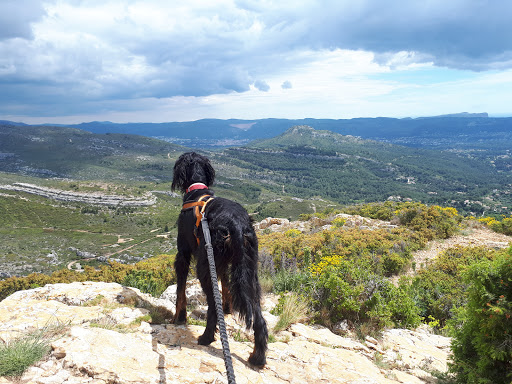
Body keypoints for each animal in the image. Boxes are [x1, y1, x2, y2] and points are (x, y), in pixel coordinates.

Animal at [171, 152, 268, 368]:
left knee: (212, 307)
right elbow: (225, 286)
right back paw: (258, 357)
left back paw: (206, 337)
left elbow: (180, 290)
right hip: (250, 272)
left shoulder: (183, 253)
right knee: (259, 317)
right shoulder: (221, 263)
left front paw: (178, 317)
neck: (197, 190)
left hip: (205, 266)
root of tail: (237, 225)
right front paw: (228, 307)